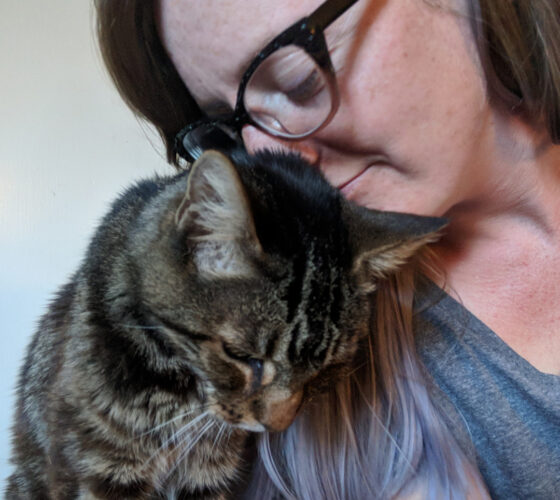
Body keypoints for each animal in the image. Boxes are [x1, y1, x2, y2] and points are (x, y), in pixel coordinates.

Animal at [6, 150, 444, 498]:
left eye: (325, 370)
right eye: (239, 355)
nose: (275, 425)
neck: (182, 391)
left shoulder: (209, 473)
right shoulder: (99, 467)